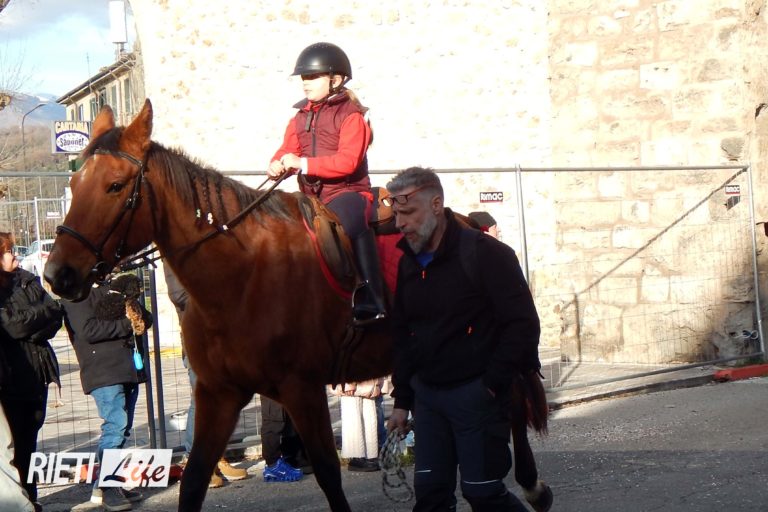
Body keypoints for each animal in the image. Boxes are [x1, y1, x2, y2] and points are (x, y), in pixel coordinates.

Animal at [44, 99, 551, 511]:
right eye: (76, 182)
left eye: (115, 185)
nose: (57, 275)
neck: (240, 277)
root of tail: (473, 226)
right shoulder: (219, 394)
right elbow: (195, 481)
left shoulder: (301, 388)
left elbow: (327, 473)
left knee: (509, 402)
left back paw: (531, 485)